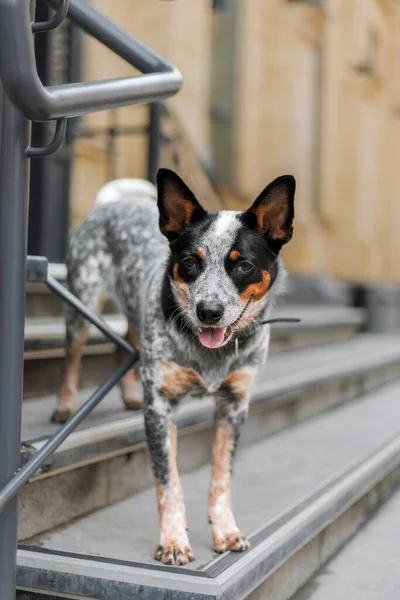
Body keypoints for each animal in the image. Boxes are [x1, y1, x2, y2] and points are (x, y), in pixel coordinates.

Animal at [54, 168, 296, 564]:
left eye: (243, 265)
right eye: (191, 262)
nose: (209, 311)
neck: (210, 354)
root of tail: (112, 204)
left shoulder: (234, 405)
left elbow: (222, 479)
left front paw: (225, 531)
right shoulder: (160, 408)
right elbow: (169, 484)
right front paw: (173, 541)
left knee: (126, 345)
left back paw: (130, 395)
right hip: (82, 302)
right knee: (72, 356)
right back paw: (65, 405)